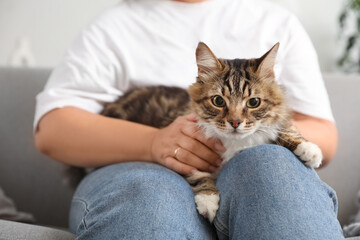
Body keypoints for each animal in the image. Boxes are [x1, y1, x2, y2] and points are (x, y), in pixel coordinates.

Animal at [101, 41, 324, 223]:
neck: (234, 143)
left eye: (253, 102)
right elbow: (199, 175)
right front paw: (208, 200)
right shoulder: (187, 151)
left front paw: (309, 150)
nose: (235, 122)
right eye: (218, 101)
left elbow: (285, 127)